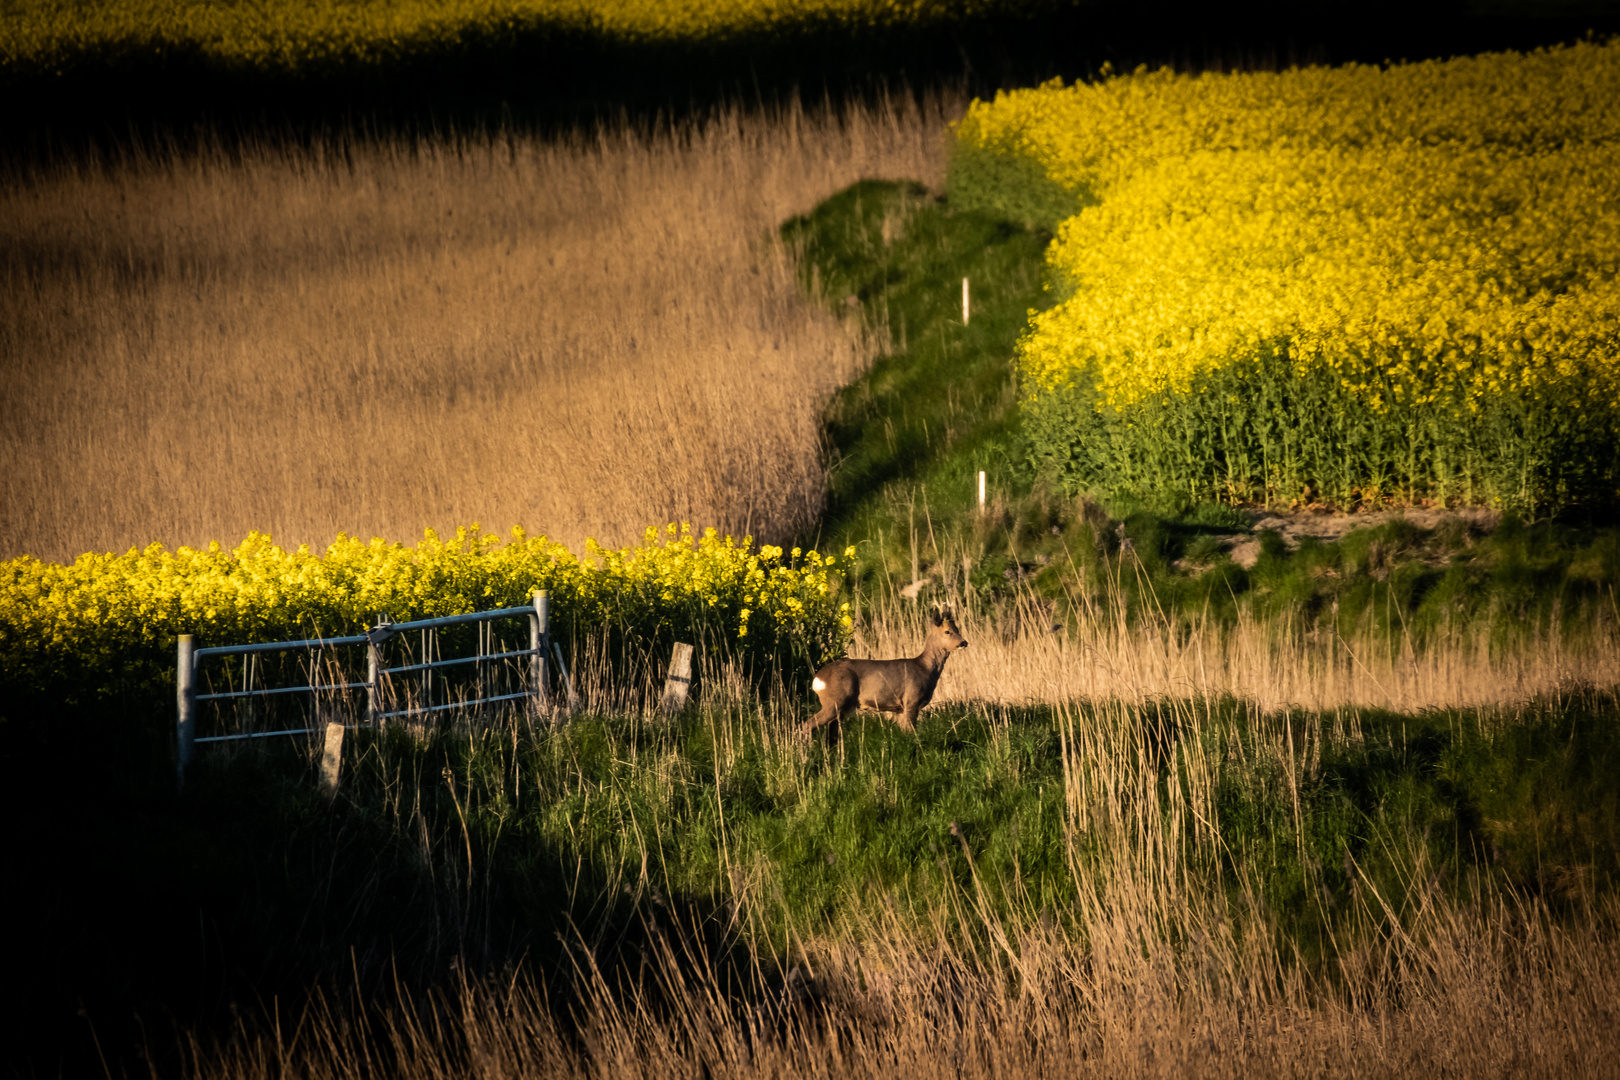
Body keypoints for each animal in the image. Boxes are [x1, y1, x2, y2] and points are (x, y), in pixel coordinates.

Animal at [797, 608, 959, 744]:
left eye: (958, 629)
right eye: (947, 631)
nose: (963, 642)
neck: (924, 668)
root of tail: (817, 680)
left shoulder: (900, 708)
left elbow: (905, 732)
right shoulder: (911, 701)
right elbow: (912, 732)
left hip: (840, 707)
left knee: (831, 734)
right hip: (834, 702)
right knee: (806, 725)